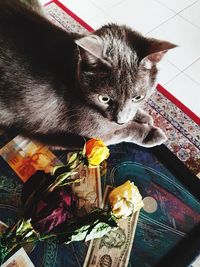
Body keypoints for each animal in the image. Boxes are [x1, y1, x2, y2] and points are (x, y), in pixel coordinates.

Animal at [0, 0, 175, 150]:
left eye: (138, 97)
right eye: (104, 99)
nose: (119, 119)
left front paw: (143, 116)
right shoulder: (98, 131)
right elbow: (127, 130)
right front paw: (151, 133)